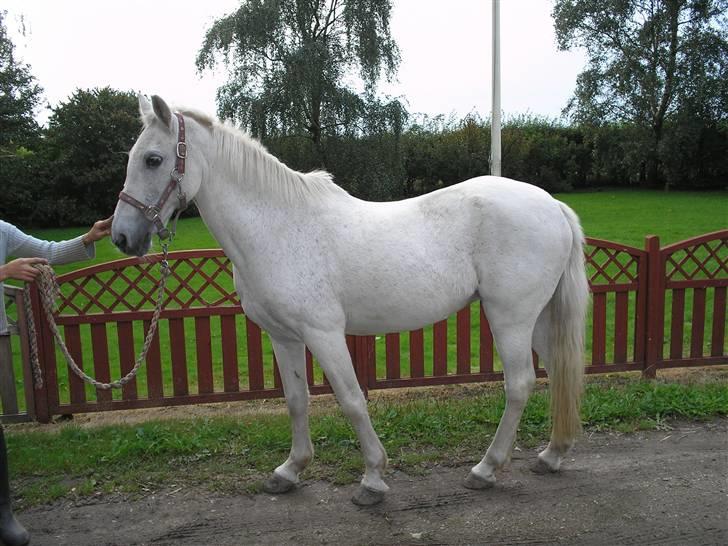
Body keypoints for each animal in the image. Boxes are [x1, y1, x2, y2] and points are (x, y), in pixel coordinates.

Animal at [111, 94, 589, 506]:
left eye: (153, 159)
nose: (121, 237)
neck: (278, 227)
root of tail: (553, 206)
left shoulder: (323, 334)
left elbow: (351, 399)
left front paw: (372, 479)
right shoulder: (283, 337)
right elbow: (296, 400)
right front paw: (289, 470)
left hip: (509, 318)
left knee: (520, 383)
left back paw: (486, 469)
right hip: (536, 319)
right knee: (556, 371)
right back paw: (552, 454)